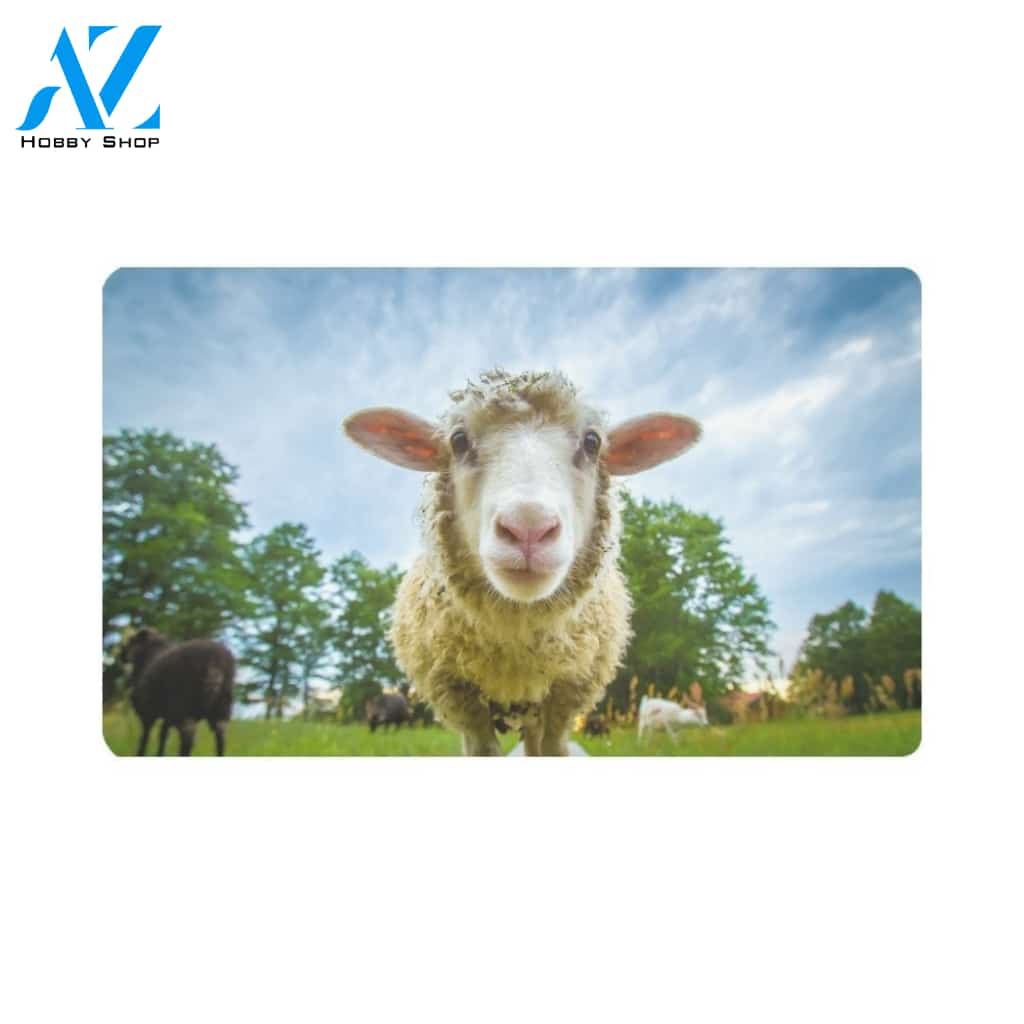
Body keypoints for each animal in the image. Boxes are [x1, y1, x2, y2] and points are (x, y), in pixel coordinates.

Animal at [123, 627, 236, 755]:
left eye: (131, 640)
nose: (122, 656)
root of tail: (214, 662)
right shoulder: (167, 715)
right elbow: (163, 735)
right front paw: (159, 754)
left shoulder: (147, 712)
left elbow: (145, 737)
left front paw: (141, 754)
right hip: (221, 708)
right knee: (221, 737)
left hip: (182, 707)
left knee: (188, 738)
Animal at [344, 369, 701, 756]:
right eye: (458, 440)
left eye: (593, 443)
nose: (528, 526)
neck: (516, 646)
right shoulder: (458, 695)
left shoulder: (567, 692)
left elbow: (553, 750)